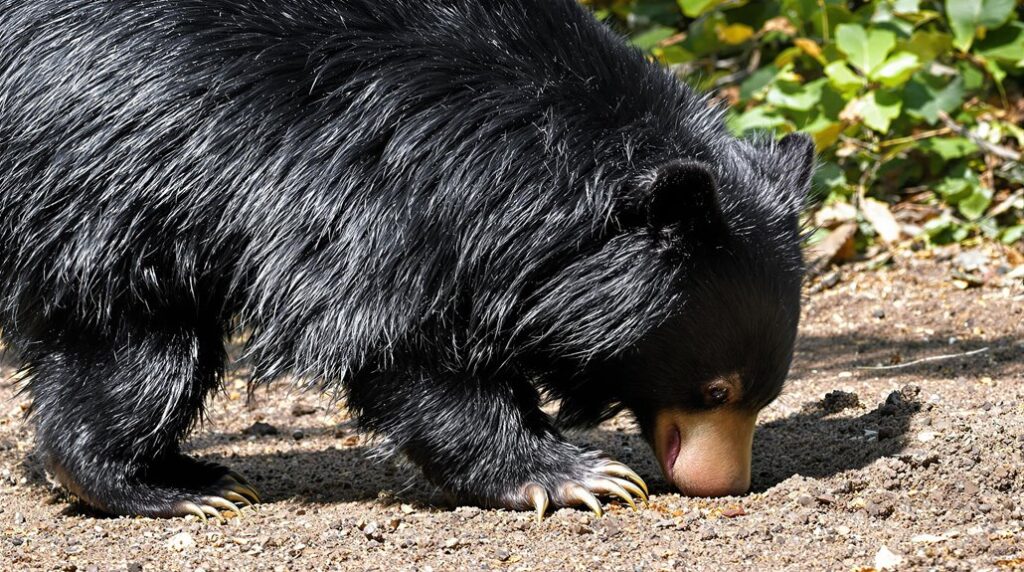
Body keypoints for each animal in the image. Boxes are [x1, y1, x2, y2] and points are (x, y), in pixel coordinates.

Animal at [0, 0, 813, 520]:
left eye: (763, 395)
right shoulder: (368, 193)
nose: (724, 485)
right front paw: (583, 476)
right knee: (147, 350)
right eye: (715, 389)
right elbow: (404, 347)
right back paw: (186, 489)